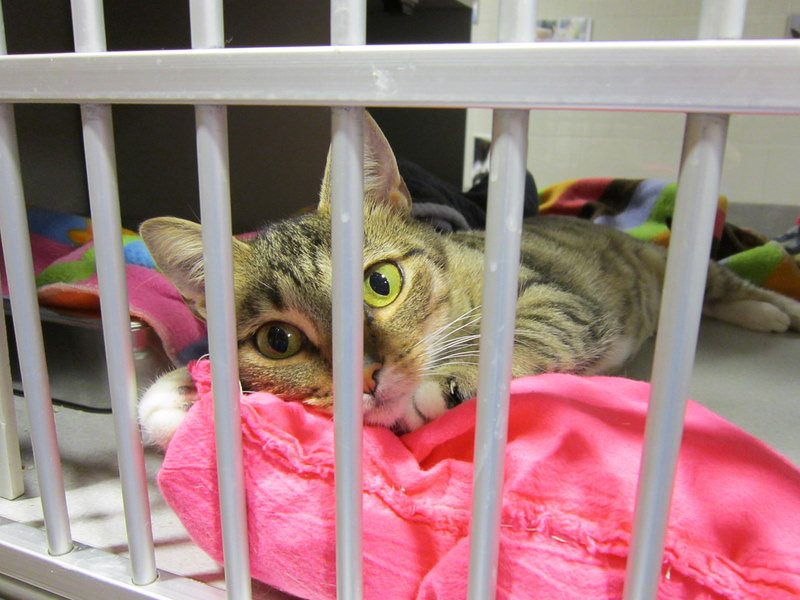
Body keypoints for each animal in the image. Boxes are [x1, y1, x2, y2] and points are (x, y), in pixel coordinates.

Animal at [138, 115, 800, 448]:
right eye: (279, 341)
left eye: (380, 283)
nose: (367, 375)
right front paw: (181, 391)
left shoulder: (555, 300)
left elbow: (517, 333)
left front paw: (443, 383)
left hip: (680, 269)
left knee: (725, 285)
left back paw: (772, 308)